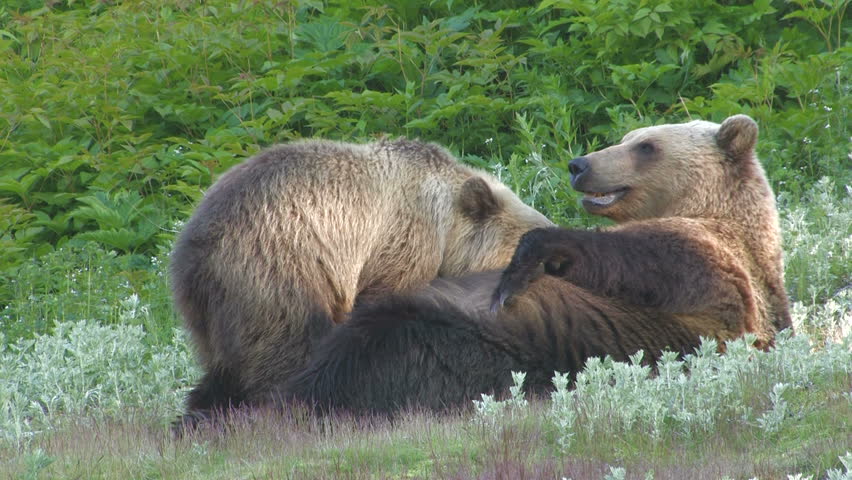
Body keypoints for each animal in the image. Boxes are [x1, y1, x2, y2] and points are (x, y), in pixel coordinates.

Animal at [170, 137, 553, 427]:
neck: (446, 230)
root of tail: (193, 254)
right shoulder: (399, 243)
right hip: (278, 270)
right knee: (289, 347)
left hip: (212, 316)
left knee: (225, 368)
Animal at [278, 114, 793, 415]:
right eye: (626, 137)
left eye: (647, 145)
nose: (580, 164)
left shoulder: (712, 268)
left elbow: (639, 260)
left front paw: (521, 265)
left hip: (482, 347)